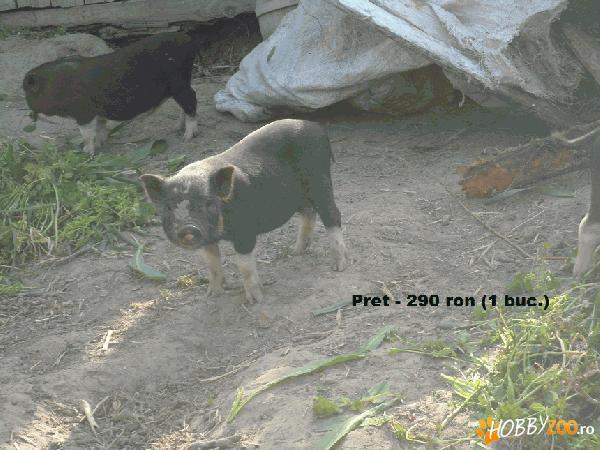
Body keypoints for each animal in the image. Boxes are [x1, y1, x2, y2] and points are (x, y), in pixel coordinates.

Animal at [22, 31, 199, 155]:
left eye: (27, 93)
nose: (30, 114)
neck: (57, 86)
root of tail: (188, 39)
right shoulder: (97, 114)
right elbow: (100, 128)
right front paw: (101, 143)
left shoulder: (84, 113)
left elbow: (87, 134)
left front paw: (86, 152)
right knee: (185, 104)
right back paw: (176, 128)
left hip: (179, 84)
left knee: (192, 100)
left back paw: (187, 137)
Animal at [140, 119, 347, 303]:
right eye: (168, 207)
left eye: (208, 203)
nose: (188, 228)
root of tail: (317, 127)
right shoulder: (208, 239)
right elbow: (212, 264)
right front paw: (211, 295)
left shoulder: (245, 232)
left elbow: (244, 265)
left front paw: (255, 301)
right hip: (300, 195)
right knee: (309, 212)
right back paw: (296, 252)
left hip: (320, 179)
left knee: (332, 215)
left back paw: (340, 266)